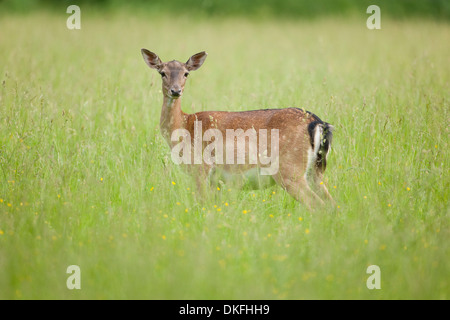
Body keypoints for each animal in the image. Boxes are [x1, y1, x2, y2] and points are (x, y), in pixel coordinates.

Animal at [141, 48, 334, 206]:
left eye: (186, 73)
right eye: (162, 73)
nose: (175, 91)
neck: (184, 125)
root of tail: (318, 123)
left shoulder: (201, 168)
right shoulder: (216, 180)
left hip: (290, 170)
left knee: (317, 205)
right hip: (315, 171)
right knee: (332, 204)